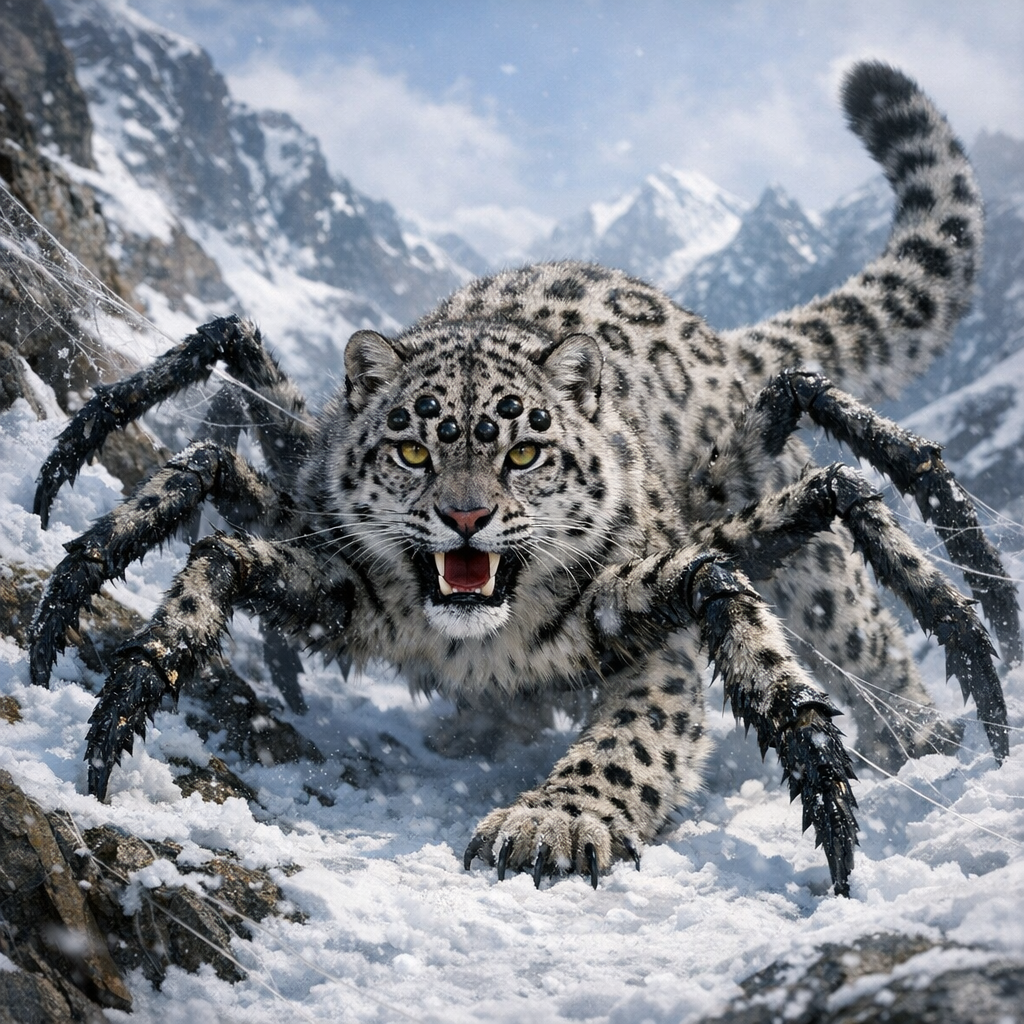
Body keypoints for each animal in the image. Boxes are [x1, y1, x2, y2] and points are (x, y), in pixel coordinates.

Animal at [29, 61, 1019, 897]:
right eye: (413, 448)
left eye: (525, 450)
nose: (466, 518)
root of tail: (716, 336)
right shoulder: (309, 557)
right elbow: (192, 524)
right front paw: (80, 700)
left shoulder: (666, 609)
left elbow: (670, 720)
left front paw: (551, 825)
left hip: (807, 541)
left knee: (875, 531)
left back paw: (958, 713)